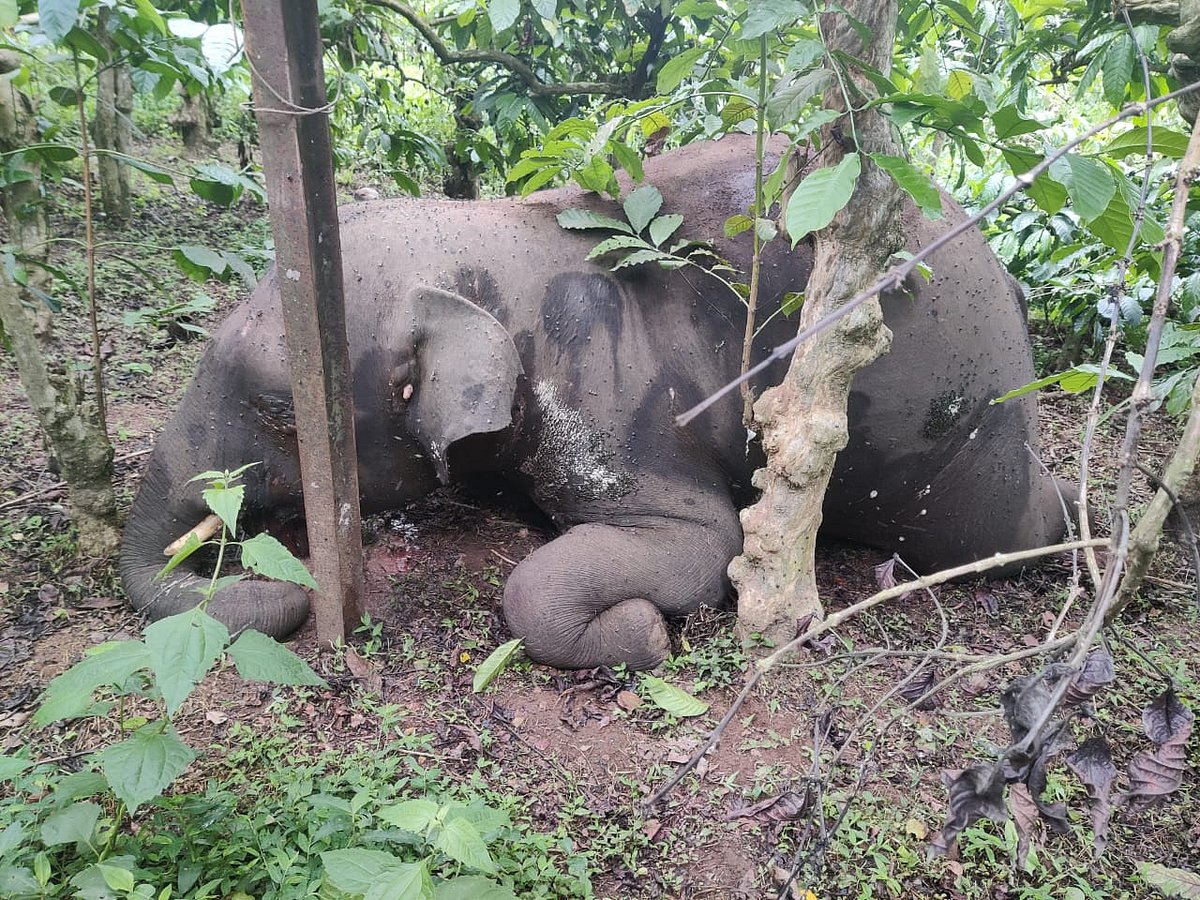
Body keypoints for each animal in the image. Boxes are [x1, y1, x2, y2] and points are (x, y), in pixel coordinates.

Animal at [119, 135, 1068, 670]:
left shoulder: (614, 400)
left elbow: (707, 544)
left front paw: (643, 633)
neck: (495, 235)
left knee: (1005, 529)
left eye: (279, 412)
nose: (283, 589)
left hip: (955, 448)